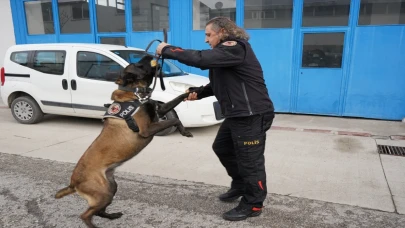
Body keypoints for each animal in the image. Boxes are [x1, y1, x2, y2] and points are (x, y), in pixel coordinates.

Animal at [54, 55, 193, 228]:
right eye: (138, 65)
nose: (149, 55)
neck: (134, 92)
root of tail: (73, 183)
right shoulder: (146, 129)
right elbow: (173, 120)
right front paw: (183, 130)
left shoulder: (160, 111)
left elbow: (177, 105)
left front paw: (193, 92)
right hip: (103, 193)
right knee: (85, 215)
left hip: (111, 188)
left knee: (98, 211)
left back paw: (113, 215)